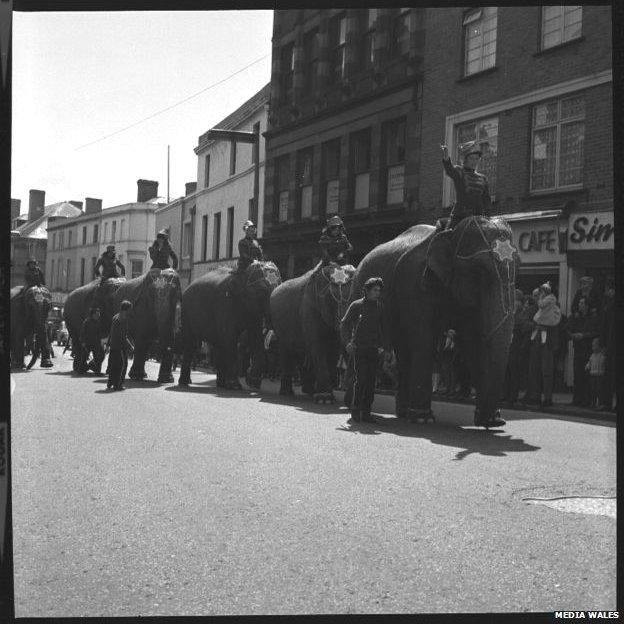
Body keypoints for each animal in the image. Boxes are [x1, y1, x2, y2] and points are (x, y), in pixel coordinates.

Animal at [178, 260, 280, 390]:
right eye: (261, 291)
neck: (241, 272)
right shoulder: (224, 303)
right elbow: (230, 338)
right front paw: (236, 386)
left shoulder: (253, 313)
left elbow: (256, 339)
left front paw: (253, 383)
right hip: (186, 314)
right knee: (190, 344)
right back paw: (185, 382)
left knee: (218, 345)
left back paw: (221, 384)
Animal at [270, 260, 354, 402]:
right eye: (331, 299)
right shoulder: (309, 307)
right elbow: (318, 345)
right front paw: (325, 399)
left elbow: (333, 349)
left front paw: (326, 396)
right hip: (279, 326)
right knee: (287, 351)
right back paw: (288, 393)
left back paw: (309, 391)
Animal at [348, 216, 520, 428]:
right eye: (479, 271)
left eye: (518, 269)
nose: (498, 422)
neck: (450, 234)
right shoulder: (414, 284)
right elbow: (424, 340)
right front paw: (424, 419)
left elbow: (472, 342)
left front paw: (491, 421)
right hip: (357, 288)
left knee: (403, 351)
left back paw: (403, 413)